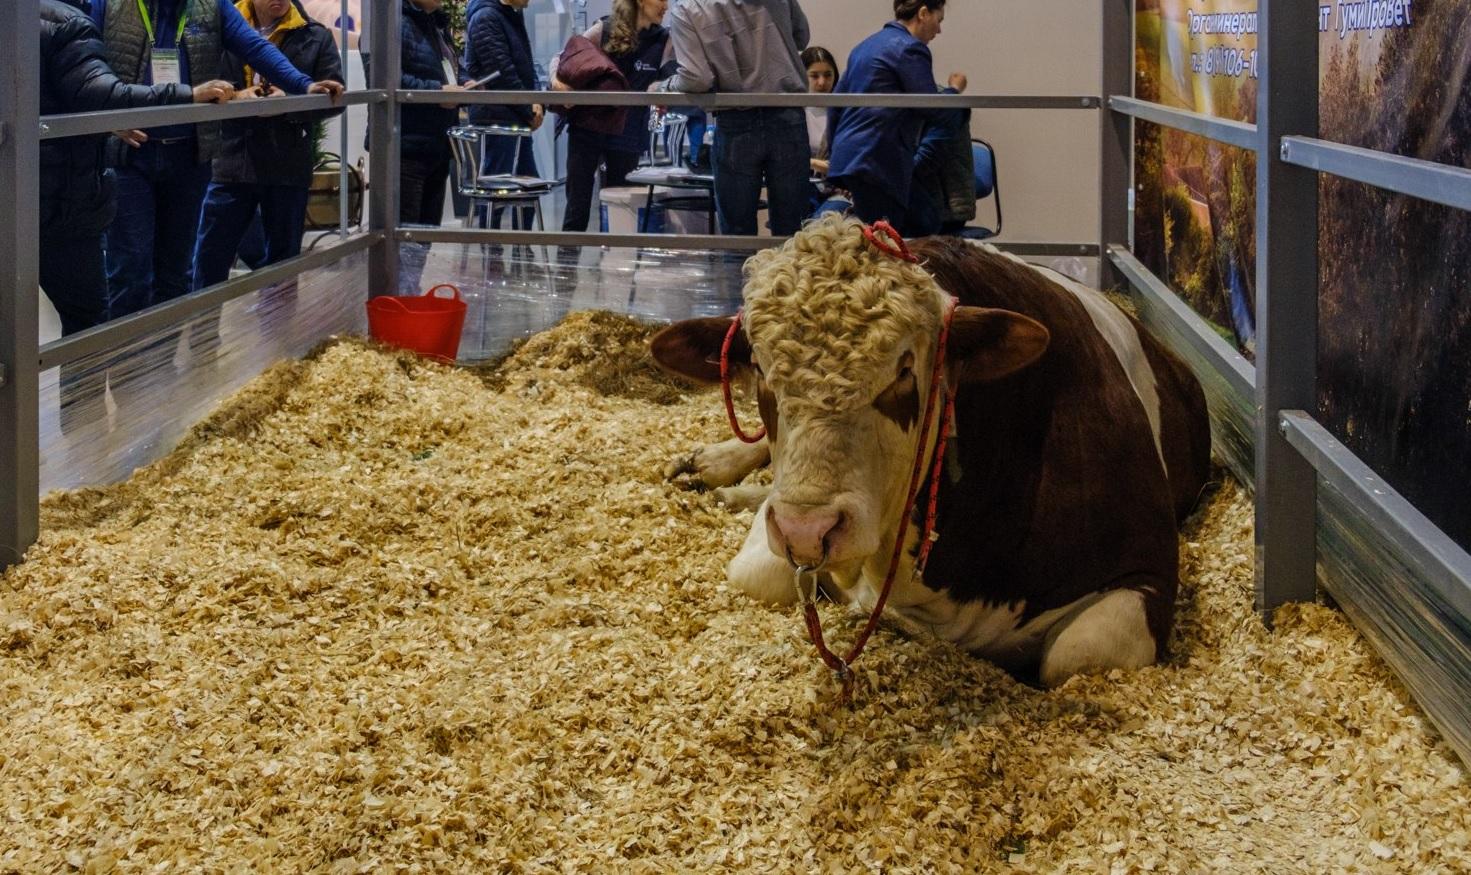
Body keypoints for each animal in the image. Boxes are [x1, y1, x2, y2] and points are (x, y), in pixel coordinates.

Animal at [653, 216, 1206, 688]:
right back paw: (710, 469)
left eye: (904, 371)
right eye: (760, 370)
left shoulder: (1147, 569)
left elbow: (1075, 654)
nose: (805, 530)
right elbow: (754, 574)